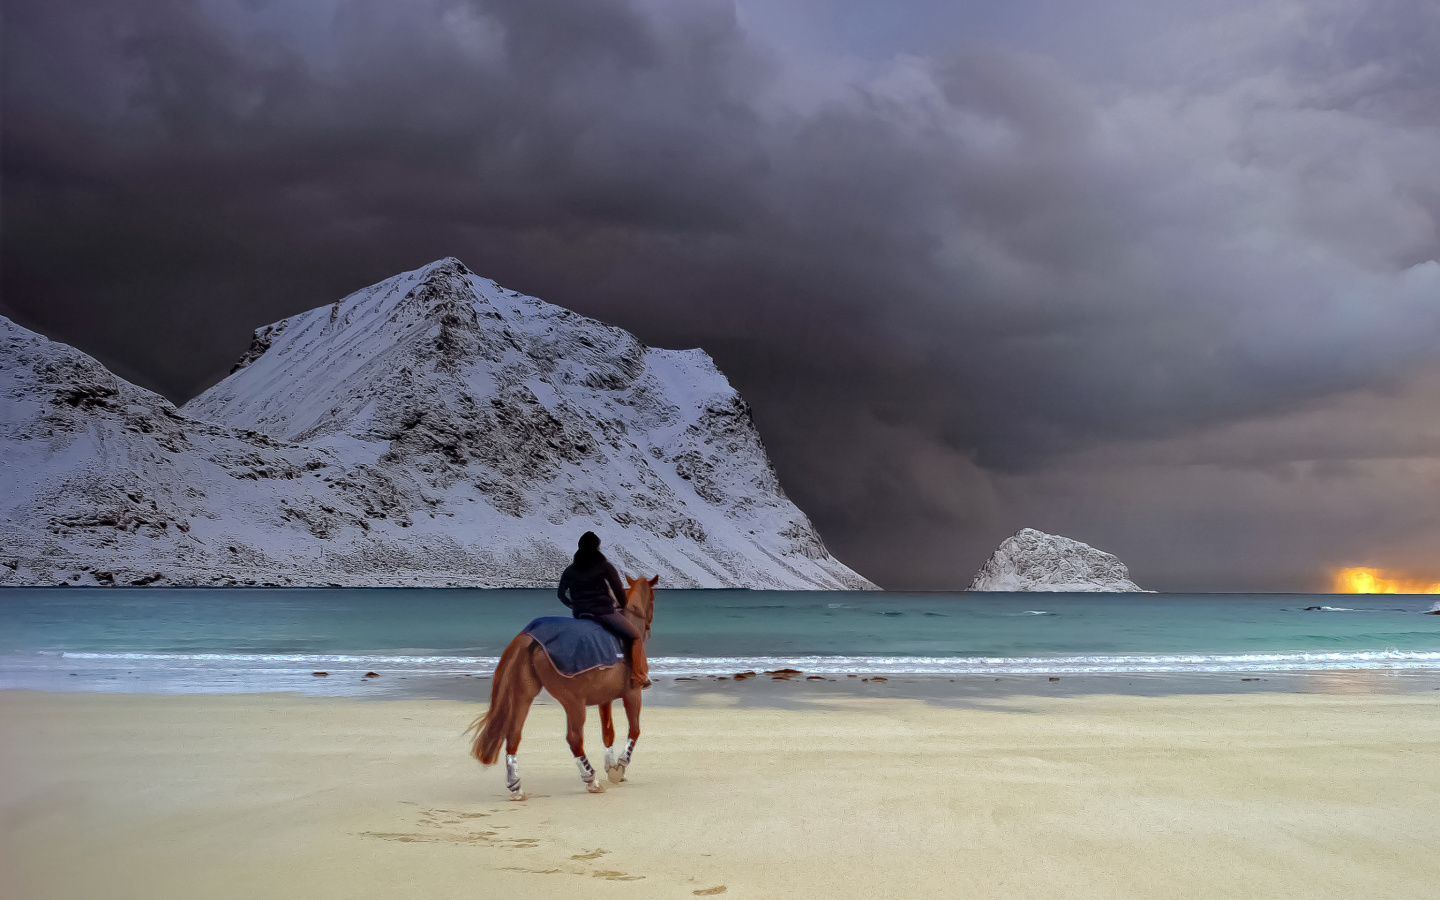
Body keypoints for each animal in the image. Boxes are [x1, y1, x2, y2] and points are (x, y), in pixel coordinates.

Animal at [466, 573, 659, 794]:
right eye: (652, 599)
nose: (648, 626)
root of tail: (531, 636)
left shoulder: (605, 699)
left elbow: (608, 733)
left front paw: (611, 767)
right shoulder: (633, 693)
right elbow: (634, 731)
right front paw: (620, 766)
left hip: (523, 694)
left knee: (513, 733)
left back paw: (515, 786)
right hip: (573, 702)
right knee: (574, 738)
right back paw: (591, 780)